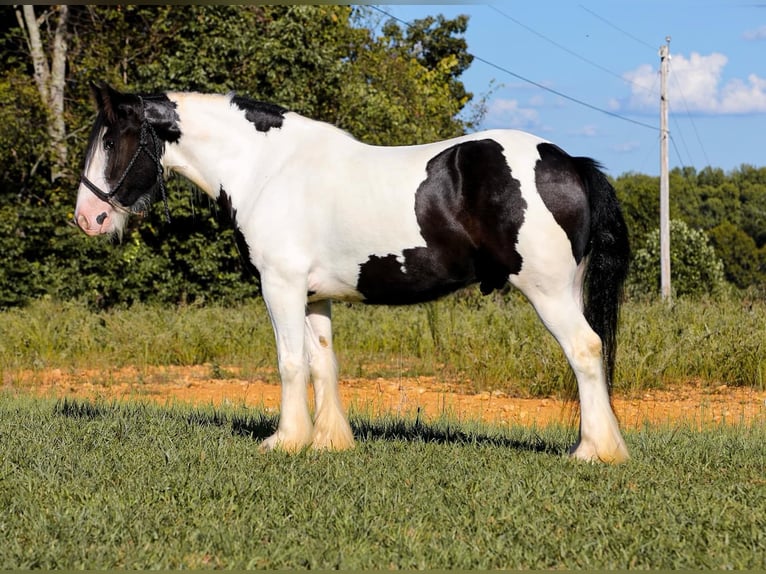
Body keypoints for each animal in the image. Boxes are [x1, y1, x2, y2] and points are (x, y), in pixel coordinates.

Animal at [75, 83, 632, 466]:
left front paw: (285, 440)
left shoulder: (280, 286)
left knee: (585, 350)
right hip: (568, 289)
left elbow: (290, 364)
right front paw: (328, 442)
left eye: (111, 140)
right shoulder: (313, 295)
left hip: (548, 291)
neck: (265, 169)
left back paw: (593, 452)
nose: (87, 218)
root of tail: (569, 161)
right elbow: (323, 363)